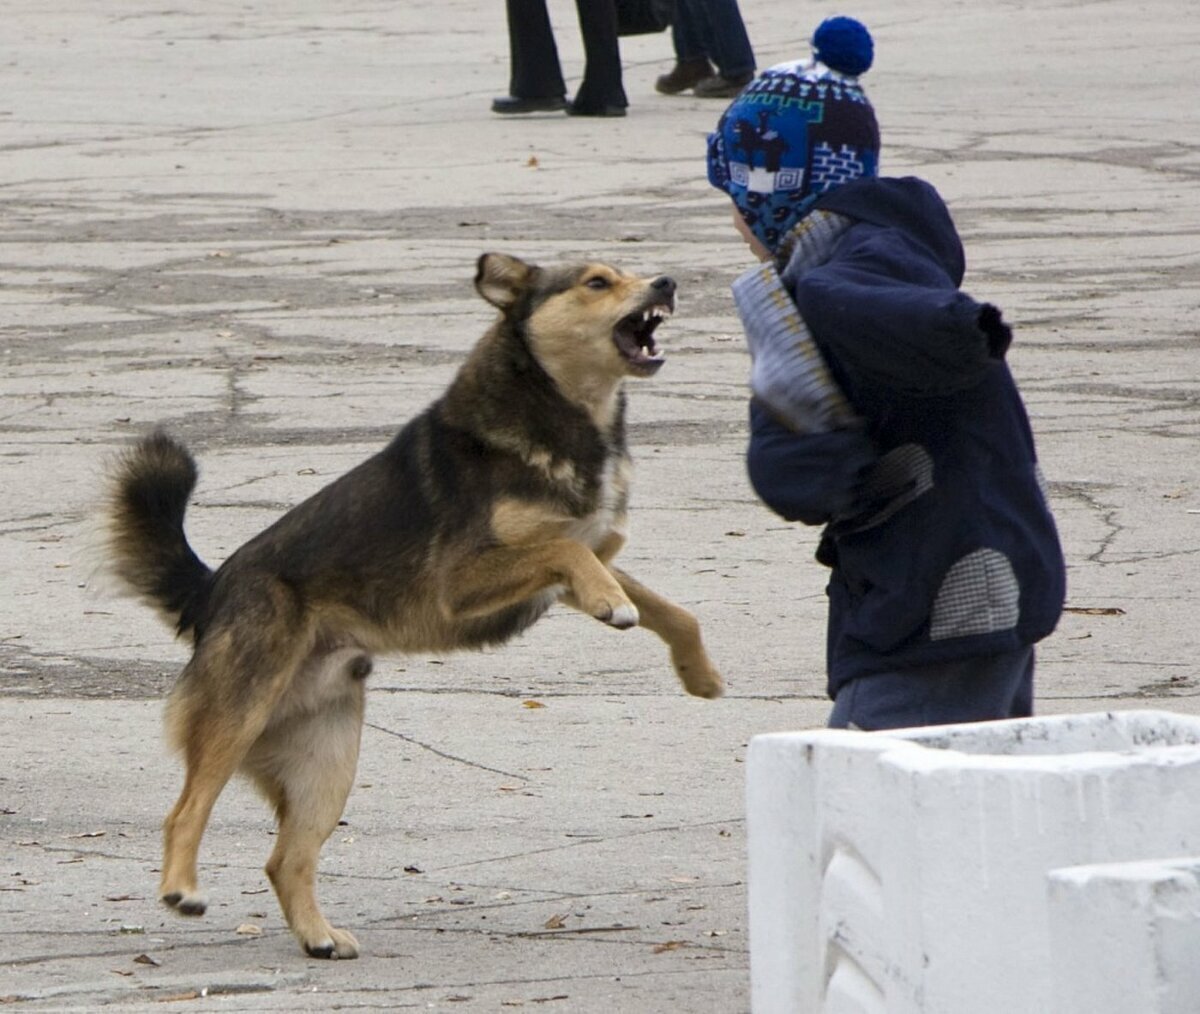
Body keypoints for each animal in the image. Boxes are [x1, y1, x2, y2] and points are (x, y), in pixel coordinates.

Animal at [100, 250, 720, 955]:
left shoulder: (582, 557)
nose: (667, 282)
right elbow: (567, 551)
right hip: (238, 714)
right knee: (184, 812)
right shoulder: (465, 580)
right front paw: (613, 607)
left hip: (327, 759)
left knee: (285, 859)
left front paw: (698, 672)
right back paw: (183, 888)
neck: (561, 409)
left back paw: (318, 936)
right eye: (596, 282)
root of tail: (212, 592)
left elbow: (671, 608)